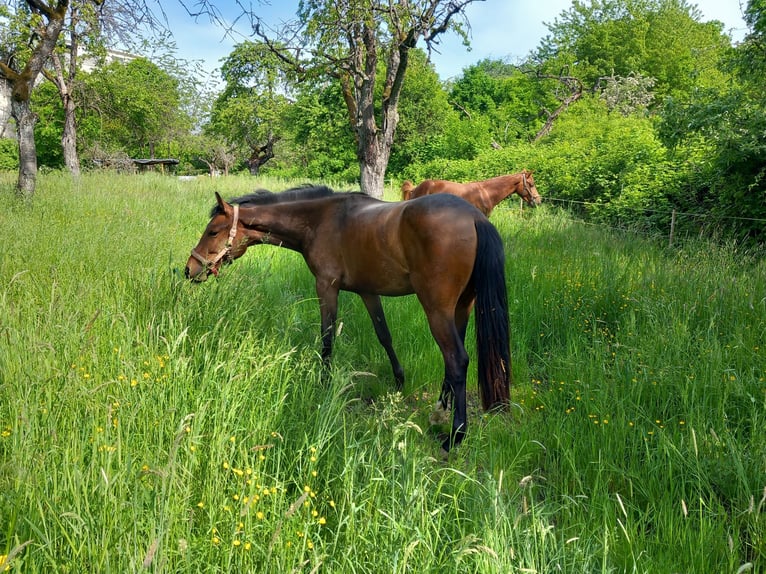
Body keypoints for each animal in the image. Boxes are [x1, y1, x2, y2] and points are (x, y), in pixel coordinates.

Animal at [184, 187, 516, 452]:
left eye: (213, 231)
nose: (189, 269)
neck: (320, 220)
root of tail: (475, 218)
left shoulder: (326, 287)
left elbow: (327, 336)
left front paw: (324, 383)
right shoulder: (368, 292)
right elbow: (384, 335)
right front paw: (398, 380)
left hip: (437, 310)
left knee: (457, 360)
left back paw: (455, 434)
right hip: (462, 308)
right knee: (452, 361)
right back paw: (439, 410)